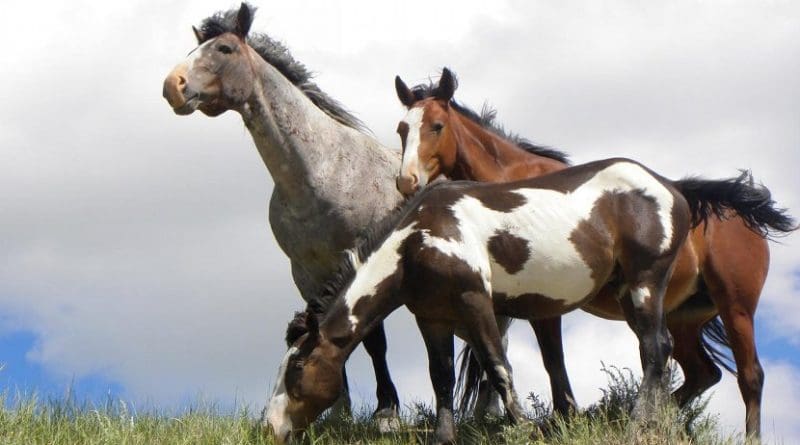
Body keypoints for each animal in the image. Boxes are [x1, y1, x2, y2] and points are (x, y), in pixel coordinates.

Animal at [160, 2, 406, 420]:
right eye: (194, 50)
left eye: (224, 49)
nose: (171, 86)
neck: (323, 171)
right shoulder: (306, 274)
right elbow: (321, 325)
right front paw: (338, 414)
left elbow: (375, 342)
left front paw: (386, 413)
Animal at [264, 155, 788, 440]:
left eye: (296, 367)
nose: (272, 427)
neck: (419, 237)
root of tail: (673, 188)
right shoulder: (431, 317)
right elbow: (441, 379)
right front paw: (445, 437)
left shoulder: (476, 302)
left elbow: (498, 367)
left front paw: (522, 426)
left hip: (648, 288)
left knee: (657, 352)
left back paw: (638, 424)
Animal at [392, 67, 792, 436]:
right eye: (401, 129)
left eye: (437, 126)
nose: (406, 181)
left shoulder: (541, 303)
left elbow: (549, 360)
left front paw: (560, 419)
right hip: (681, 317)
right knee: (701, 373)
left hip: (735, 308)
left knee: (749, 376)